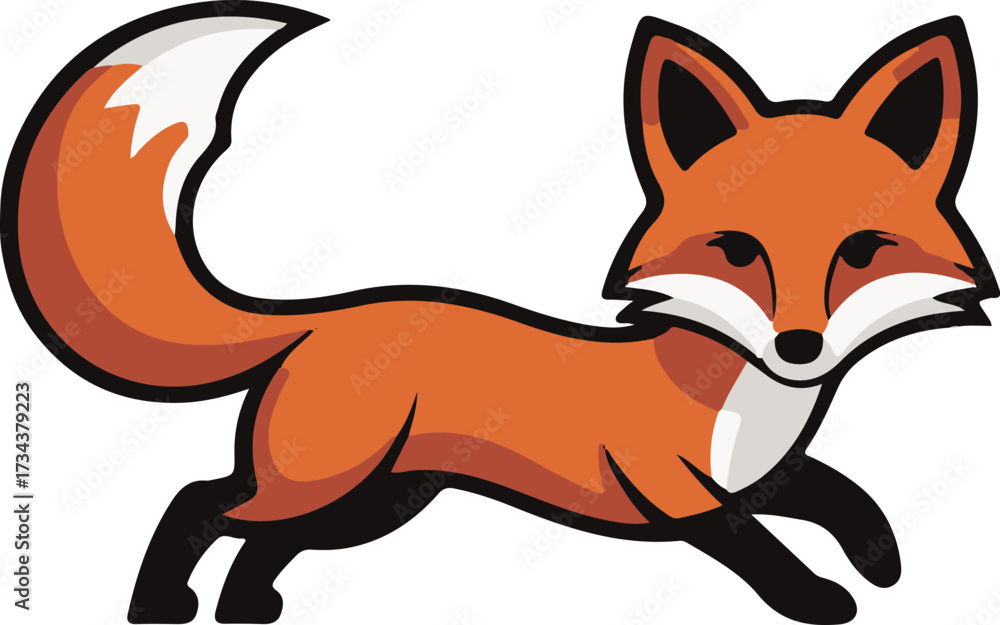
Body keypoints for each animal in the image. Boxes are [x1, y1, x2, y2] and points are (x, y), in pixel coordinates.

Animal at [1, 2, 995, 624]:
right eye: (737, 250)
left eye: (861, 252)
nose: (798, 342)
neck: (745, 401)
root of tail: (321, 315)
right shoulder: (675, 490)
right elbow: (758, 547)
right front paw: (819, 597)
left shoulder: (755, 474)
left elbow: (842, 493)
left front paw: (881, 560)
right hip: (324, 482)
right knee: (202, 501)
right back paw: (159, 604)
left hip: (374, 503)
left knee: (263, 543)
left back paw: (247, 609)